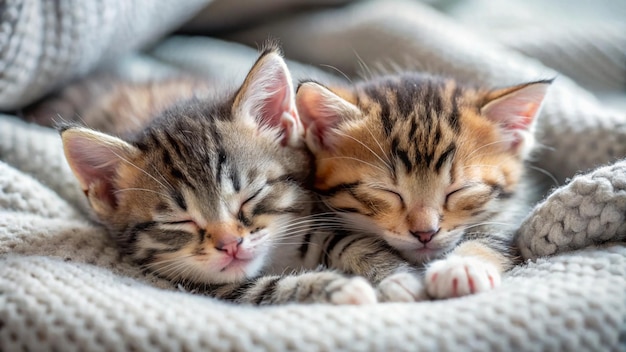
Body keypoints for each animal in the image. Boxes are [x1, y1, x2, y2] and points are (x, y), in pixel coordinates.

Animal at [36, 46, 422, 306]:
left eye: (250, 196)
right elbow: (265, 288)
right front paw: (335, 287)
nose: (230, 244)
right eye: (179, 221)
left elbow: (344, 240)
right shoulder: (207, 285)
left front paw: (394, 275)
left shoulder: (307, 219)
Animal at [294, 73, 548, 298]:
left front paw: (463, 266)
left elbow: (494, 235)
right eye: (386, 192)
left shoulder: (514, 207)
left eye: (459, 190)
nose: (425, 234)